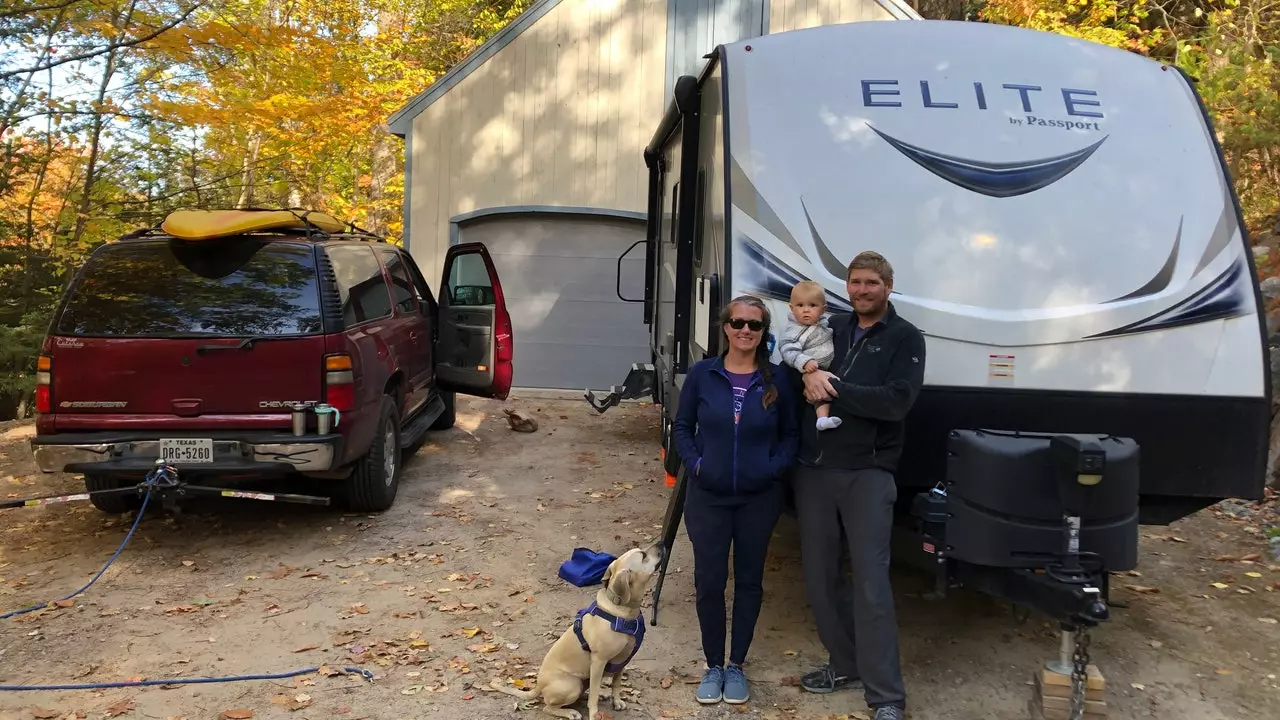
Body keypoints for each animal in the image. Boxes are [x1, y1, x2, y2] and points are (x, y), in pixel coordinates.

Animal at [491, 540, 670, 717]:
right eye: (643, 555)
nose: (662, 542)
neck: (623, 610)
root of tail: (538, 685)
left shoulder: (623, 660)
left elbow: (616, 683)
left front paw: (616, 701)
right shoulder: (598, 661)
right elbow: (594, 697)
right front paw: (595, 714)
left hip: (583, 681)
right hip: (573, 684)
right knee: (549, 707)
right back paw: (570, 712)